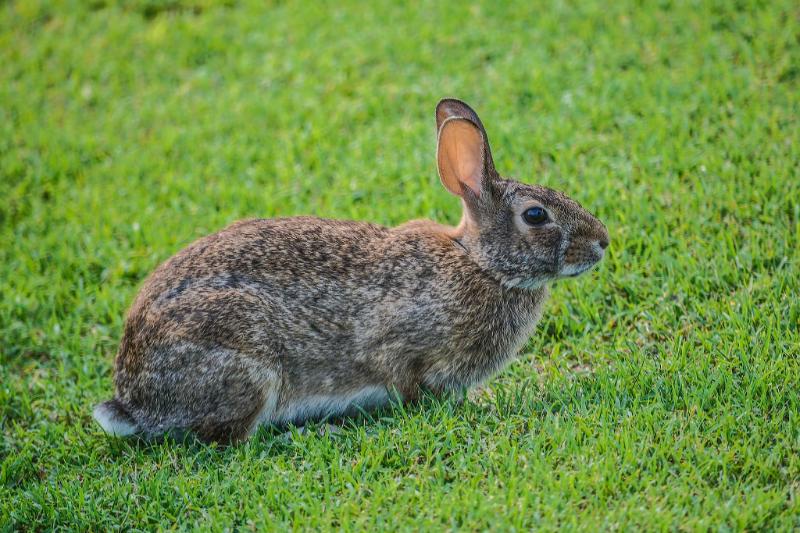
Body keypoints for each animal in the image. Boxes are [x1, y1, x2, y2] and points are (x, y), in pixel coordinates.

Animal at [93, 99, 609, 443]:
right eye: (536, 215)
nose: (602, 242)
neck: (480, 264)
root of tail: (132, 400)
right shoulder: (406, 347)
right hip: (244, 360)